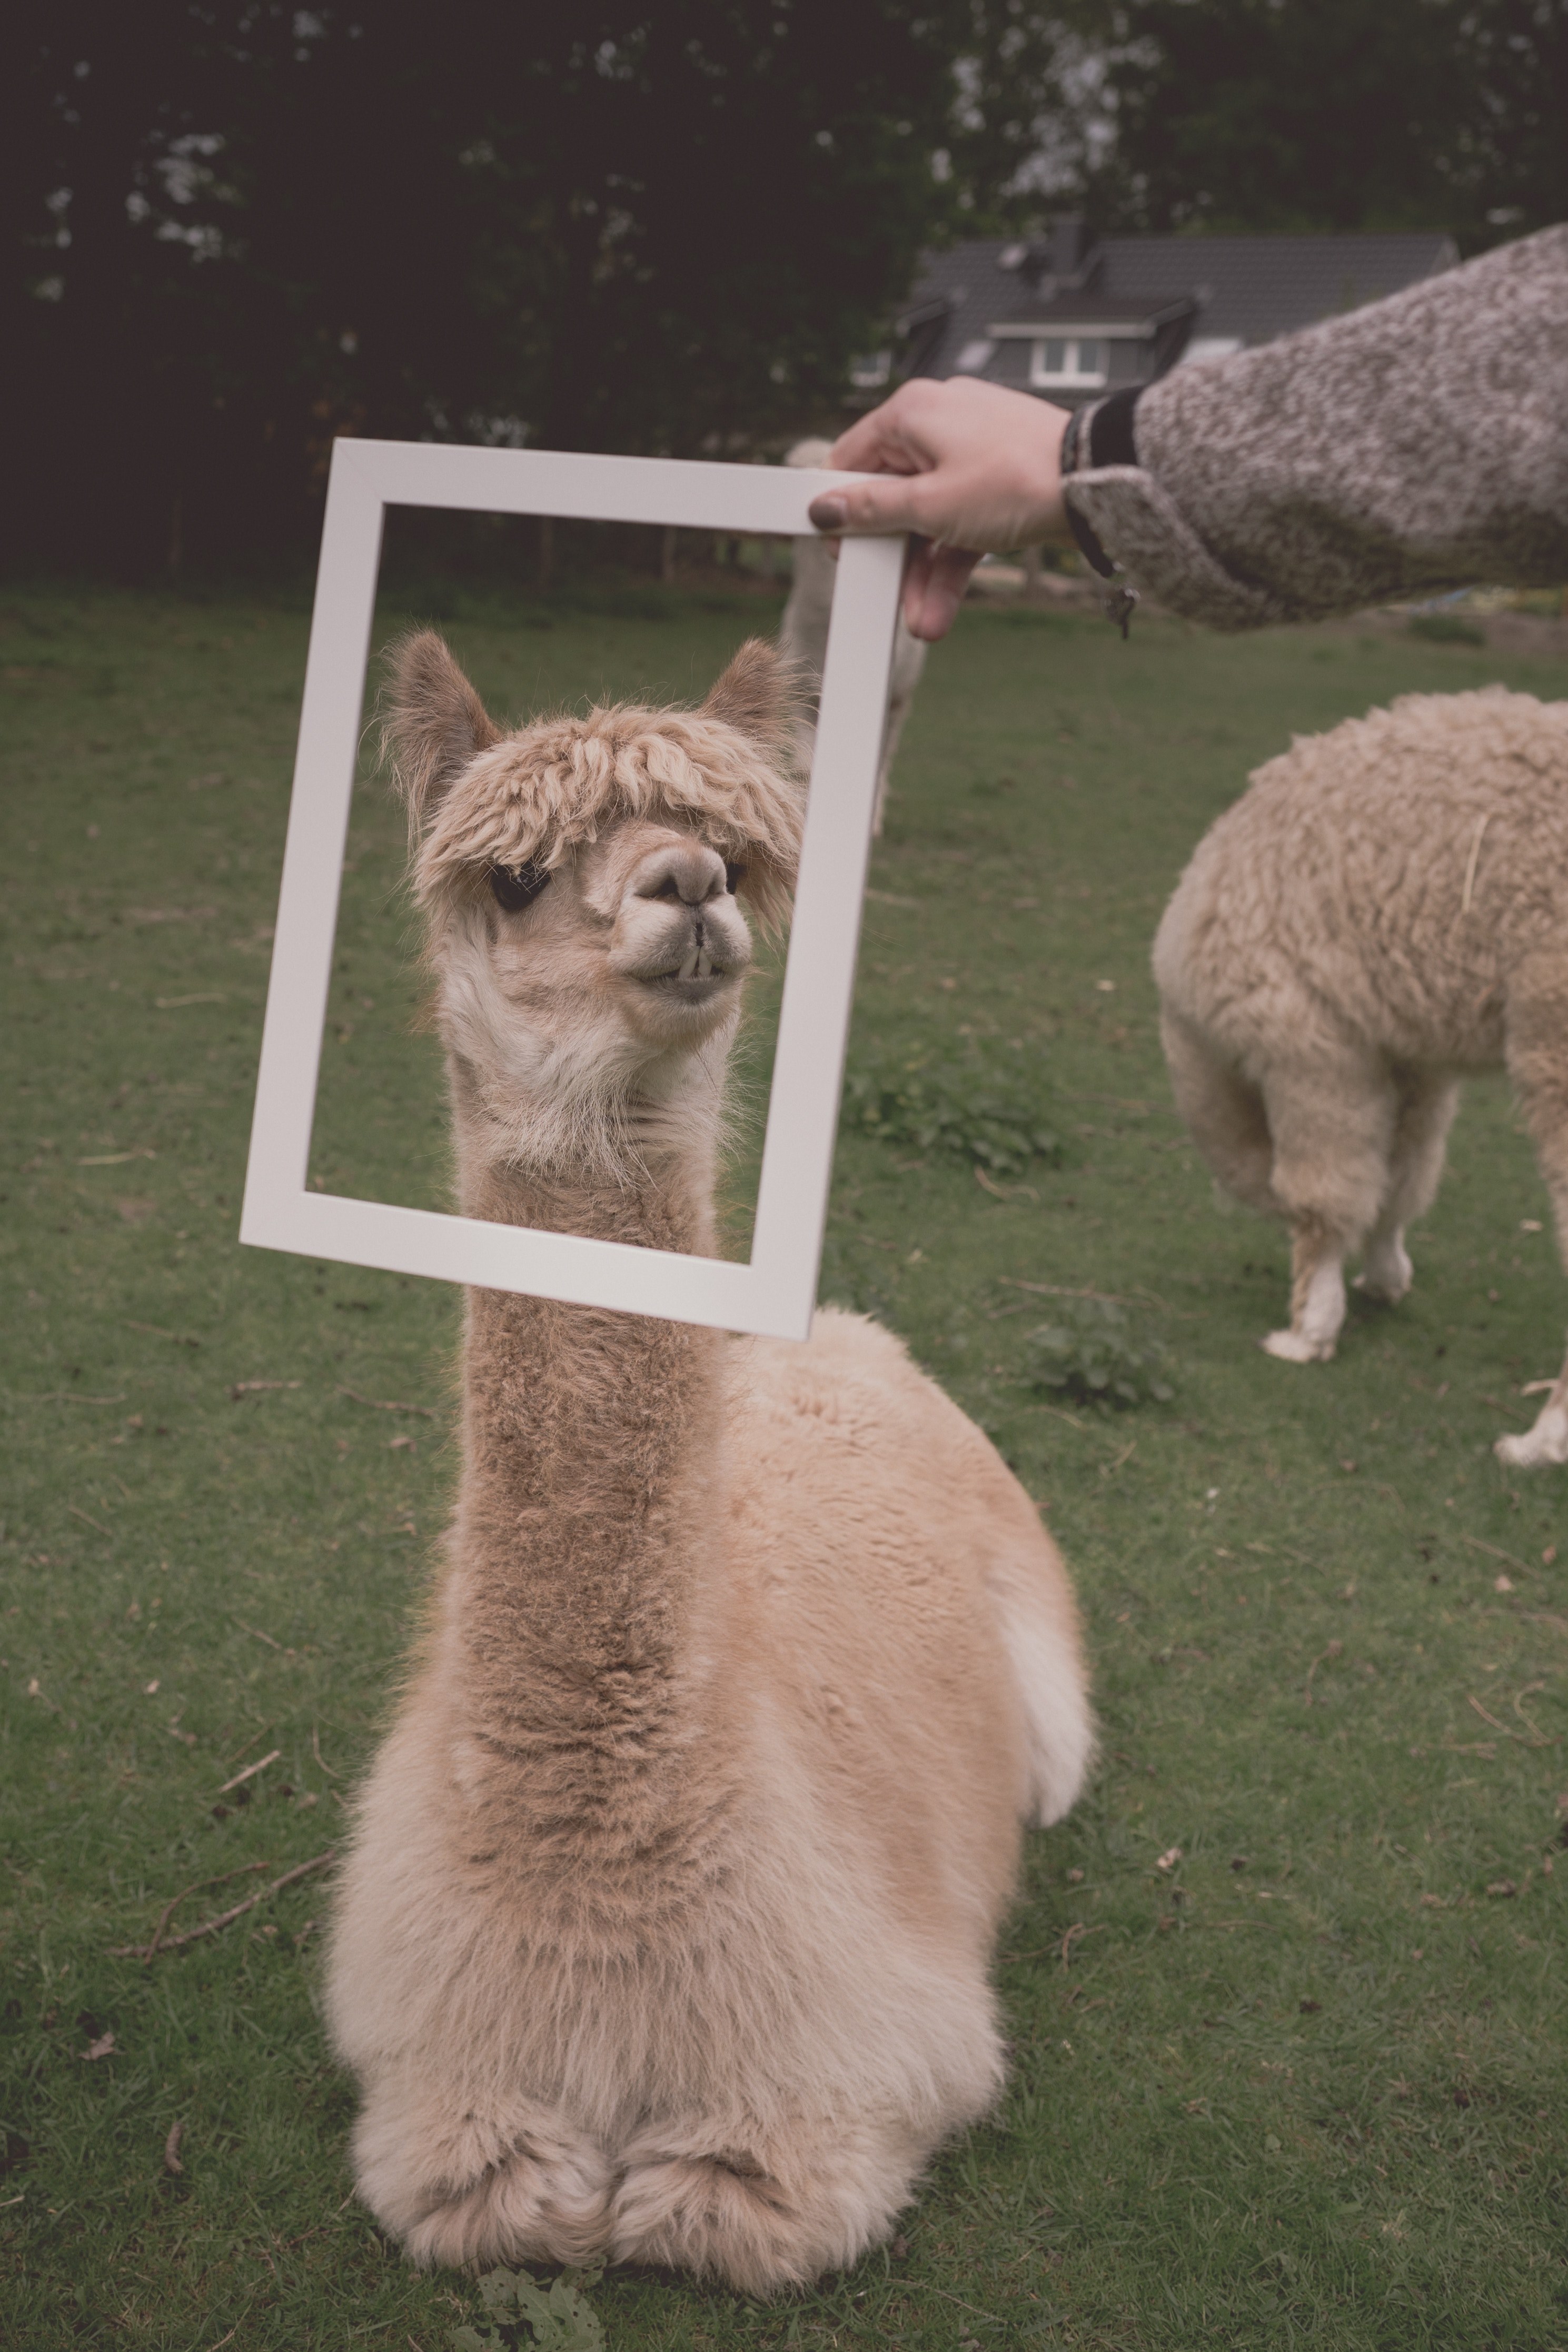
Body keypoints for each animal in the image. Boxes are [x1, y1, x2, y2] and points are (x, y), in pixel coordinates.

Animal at [322, 630, 1093, 2293]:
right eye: (519, 877)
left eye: (731, 853)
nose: (687, 888)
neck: (599, 1886)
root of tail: (836, 1339)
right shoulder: (438, 2084)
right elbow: (494, 2190)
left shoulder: (854, 2071)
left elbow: (717, 2207)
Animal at [1153, 685, 1568, 1468]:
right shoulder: (1405, 1049)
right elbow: (1398, 1176)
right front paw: (1383, 1277)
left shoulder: (1311, 1044)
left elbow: (1324, 1193)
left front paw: (1308, 1330)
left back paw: (1538, 1442)